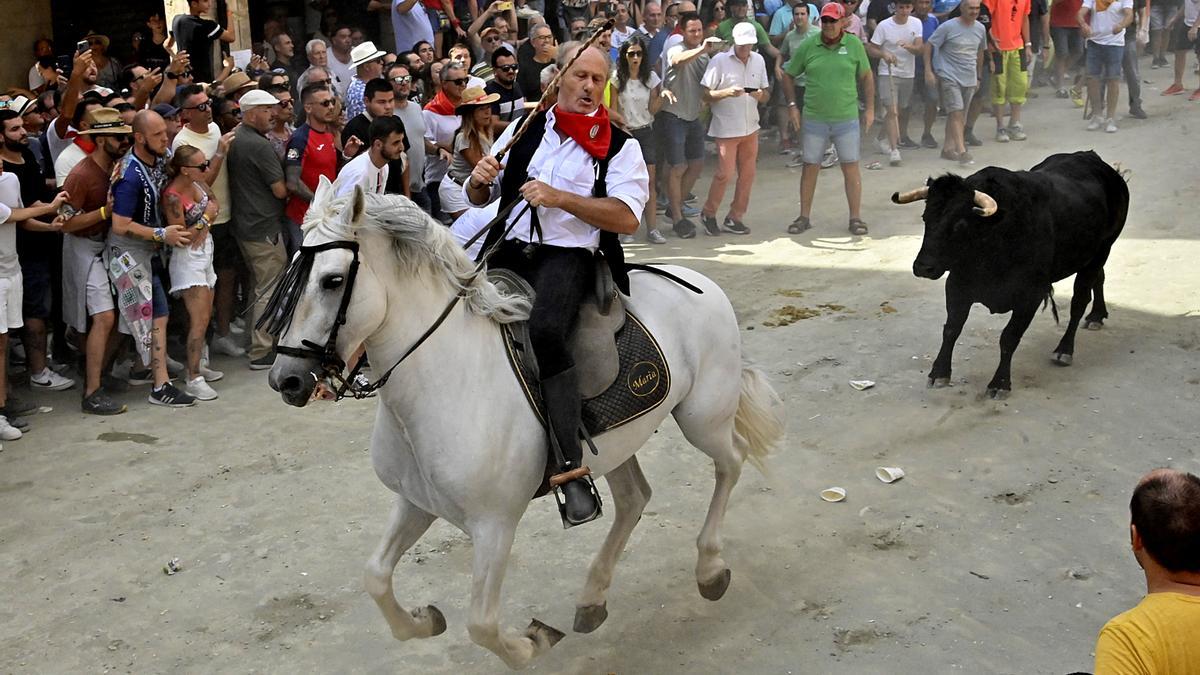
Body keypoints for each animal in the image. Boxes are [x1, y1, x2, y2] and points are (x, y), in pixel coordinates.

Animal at [267, 178, 782, 667]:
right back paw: (592, 598)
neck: (445, 382)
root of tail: (696, 280)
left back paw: (709, 569)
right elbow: (375, 577)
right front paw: (425, 620)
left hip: (702, 418)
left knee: (731, 463)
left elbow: (482, 624)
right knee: (635, 499)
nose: (285, 379)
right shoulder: (415, 501)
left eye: (333, 280)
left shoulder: (494, 525)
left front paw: (533, 642)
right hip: (622, 440)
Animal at [897, 149, 1128, 396]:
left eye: (960, 224)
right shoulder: (958, 285)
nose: (923, 267)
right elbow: (951, 328)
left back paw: (1065, 349)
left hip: (1102, 249)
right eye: (925, 218)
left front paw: (999, 383)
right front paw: (939, 373)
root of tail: (1092, 158)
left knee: (1079, 301)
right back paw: (1097, 315)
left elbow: (1009, 337)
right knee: (1099, 278)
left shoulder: (1031, 295)